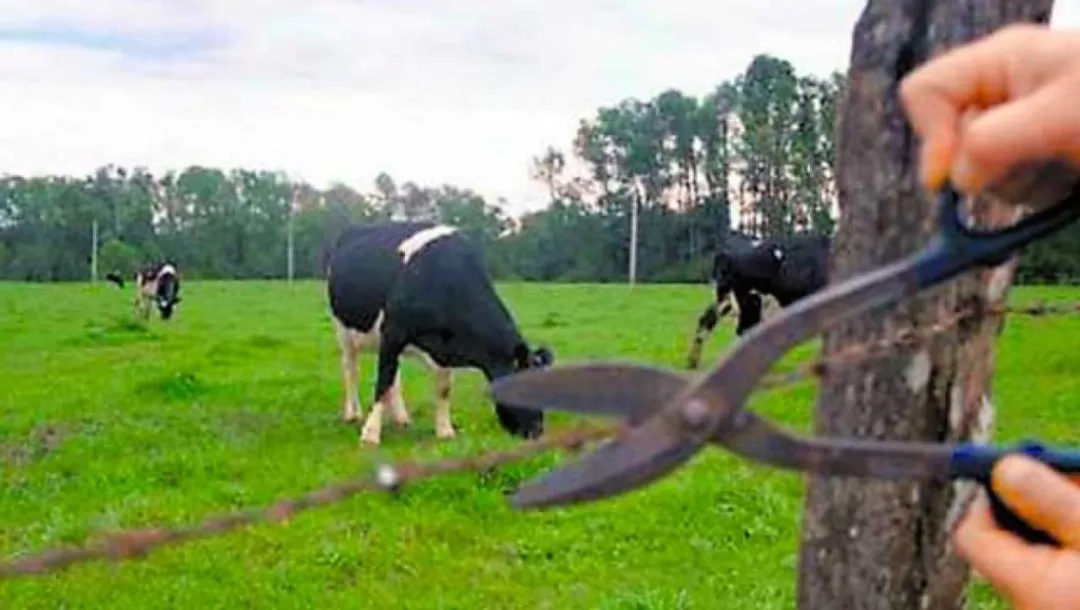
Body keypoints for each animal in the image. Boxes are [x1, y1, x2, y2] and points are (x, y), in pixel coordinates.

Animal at [324, 221, 552, 444]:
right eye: (524, 390)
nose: (537, 431)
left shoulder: (444, 343)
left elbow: (443, 388)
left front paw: (445, 430)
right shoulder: (393, 332)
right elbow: (383, 380)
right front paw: (370, 434)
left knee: (393, 376)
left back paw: (400, 417)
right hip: (344, 330)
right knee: (351, 369)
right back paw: (353, 414)